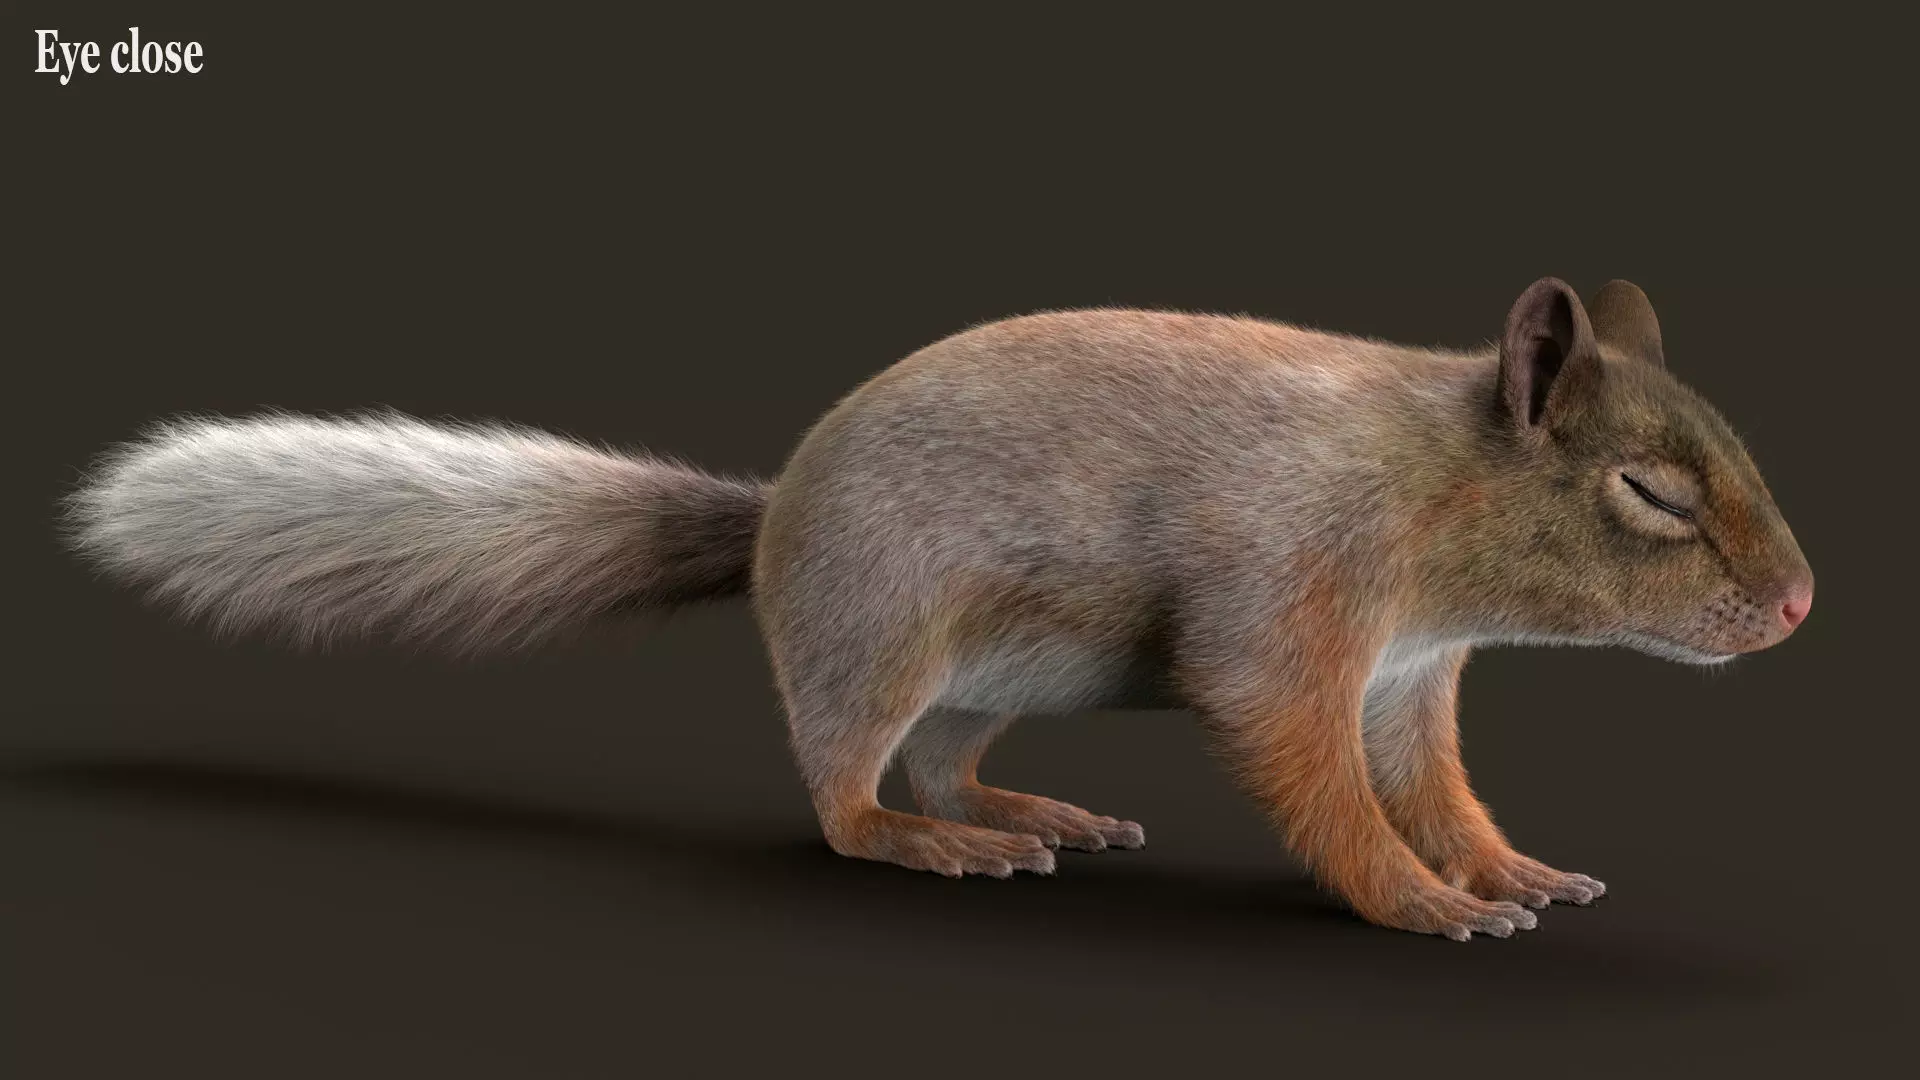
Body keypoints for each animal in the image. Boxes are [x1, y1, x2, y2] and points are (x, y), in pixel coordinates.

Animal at [65, 277, 1813, 940]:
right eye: (1652, 494)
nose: (1800, 606)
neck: (1425, 487)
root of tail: (777, 524)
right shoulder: (1291, 608)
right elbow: (1313, 775)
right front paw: (1420, 902)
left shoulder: (1412, 674)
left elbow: (1435, 788)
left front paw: (1505, 866)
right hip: (882, 637)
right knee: (852, 798)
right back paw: (940, 846)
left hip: (988, 678)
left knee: (942, 762)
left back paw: (1031, 810)